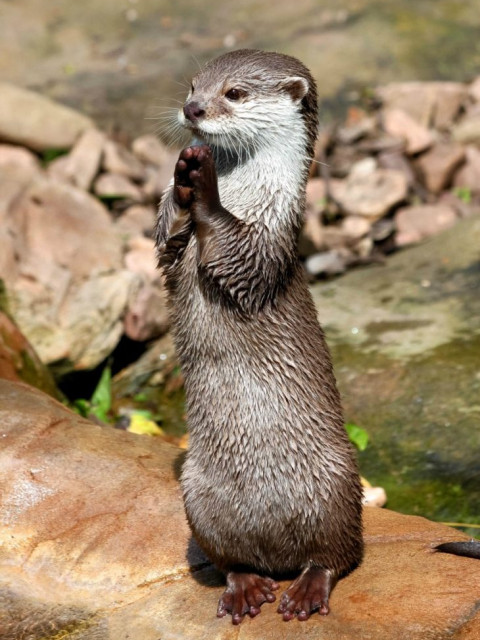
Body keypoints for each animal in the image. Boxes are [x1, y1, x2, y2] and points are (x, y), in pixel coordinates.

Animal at [156, 51, 362, 624]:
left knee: (336, 556)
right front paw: (182, 177)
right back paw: (246, 587)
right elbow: (165, 238)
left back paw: (306, 591)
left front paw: (202, 184)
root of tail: (278, 555)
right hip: (197, 496)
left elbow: (237, 251)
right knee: (229, 558)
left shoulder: (268, 240)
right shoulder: (168, 251)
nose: (193, 109)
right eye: (193, 85)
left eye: (235, 93)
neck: (250, 193)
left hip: (339, 485)